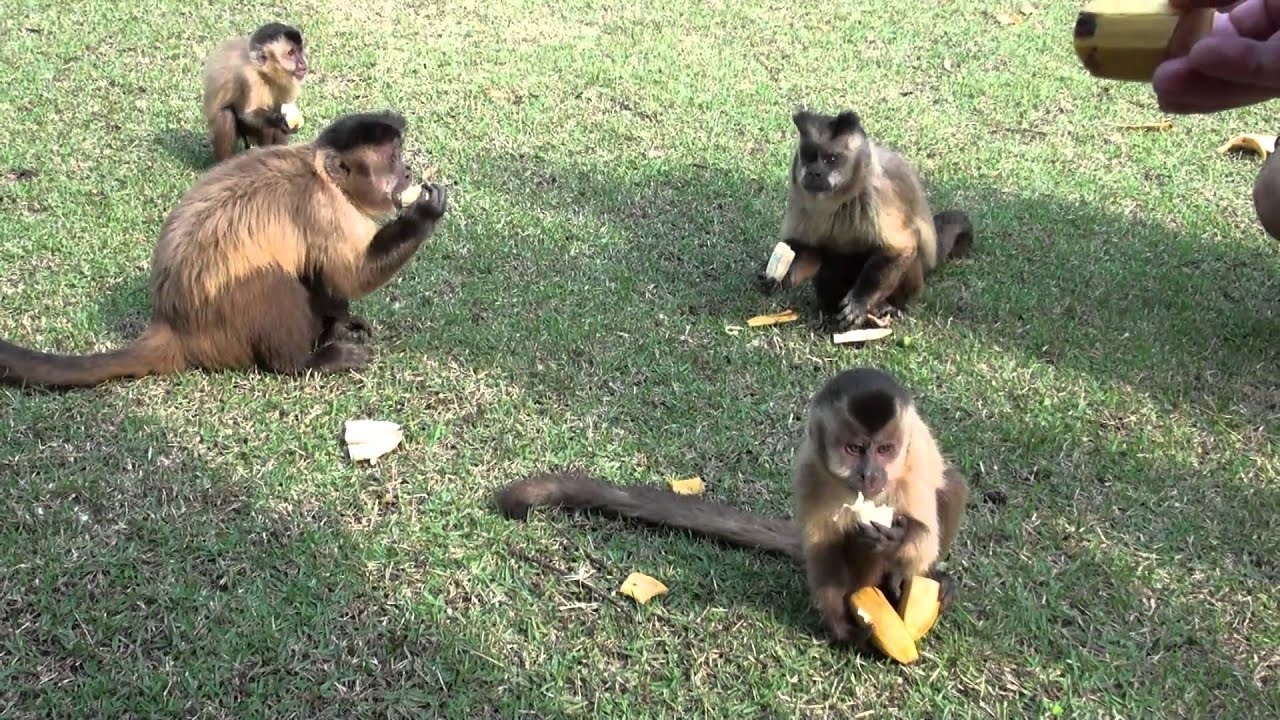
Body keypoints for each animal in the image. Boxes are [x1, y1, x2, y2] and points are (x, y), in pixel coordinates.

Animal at [0, 110, 448, 389]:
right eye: (393, 159)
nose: (408, 171)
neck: (323, 176)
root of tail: (172, 325)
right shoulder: (325, 208)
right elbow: (348, 275)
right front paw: (424, 213)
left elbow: (324, 274)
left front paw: (338, 321)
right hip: (226, 323)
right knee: (271, 280)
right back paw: (303, 363)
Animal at [201, 22, 309, 163]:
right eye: (291, 53)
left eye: (300, 51)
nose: (302, 62)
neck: (265, 74)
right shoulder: (249, 77)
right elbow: (249, 115)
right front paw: (279, 119)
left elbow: (281, 108)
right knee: (226, 115)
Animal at [496, 367, 968, 653]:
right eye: (854, 449)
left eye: (885, 450)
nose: (871, 474)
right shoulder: (811, 469)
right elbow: (822, 550)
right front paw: (841, 625)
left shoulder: (910, 463)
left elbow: (923, 536)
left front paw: (904, 542)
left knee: (952, 485)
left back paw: (904, 581)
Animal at [755, 109, 975, 332]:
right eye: (809, 156)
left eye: (830, 158)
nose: (814, 172)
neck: (841, 199)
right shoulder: (800, 194)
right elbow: (809, 249)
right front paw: (777, 279)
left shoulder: (876, 193)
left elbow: (900, 247)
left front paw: (860, 303)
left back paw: (885, 308)